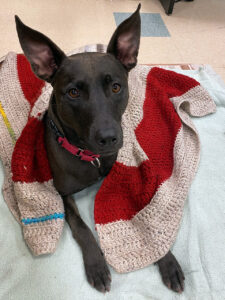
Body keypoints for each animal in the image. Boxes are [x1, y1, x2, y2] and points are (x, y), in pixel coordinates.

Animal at [15, 4, 185, 292]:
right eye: (73, 93)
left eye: (116, 87)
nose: (109, 138)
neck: (91, 157)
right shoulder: (62, 194)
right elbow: (82, 228)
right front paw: (96, 265)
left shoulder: (126, 176)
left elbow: (144, 219)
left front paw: (166, 258)